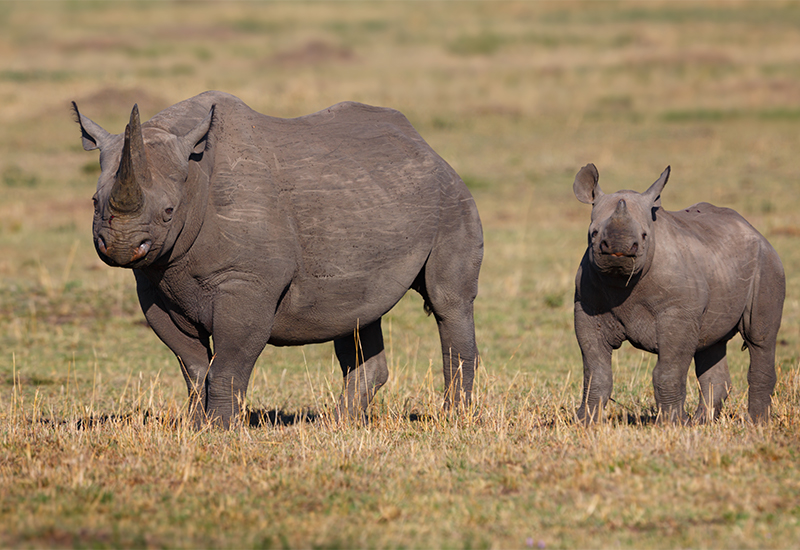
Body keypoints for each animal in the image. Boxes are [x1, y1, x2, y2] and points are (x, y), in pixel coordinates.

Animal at [73, 89, 482, 426]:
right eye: (94, 202)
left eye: (168, 213)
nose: (122, 246)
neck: (194, 176)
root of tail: (428, 148)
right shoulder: (154, 284)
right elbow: (194, 367)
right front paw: (195, 428)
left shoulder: (248, 282)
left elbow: (229, 365)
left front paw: (220, 431)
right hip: (378, 196)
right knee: (357, 311)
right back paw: (339, 425)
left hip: (452, 198)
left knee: (448, 302)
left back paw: (453, 418)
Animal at [572, 164, 784, 426]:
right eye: (593, 233)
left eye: (644, 235)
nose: (619, 249)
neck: (621, 280)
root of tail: (755, 231)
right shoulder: (587, 309)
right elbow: (596, 372)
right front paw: (585, 422)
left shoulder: (678, 312)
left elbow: (668, 371)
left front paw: (672, 424)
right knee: (711, 343)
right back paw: (702, 423)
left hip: (767, 263)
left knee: (760, 339)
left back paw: (757, 424)